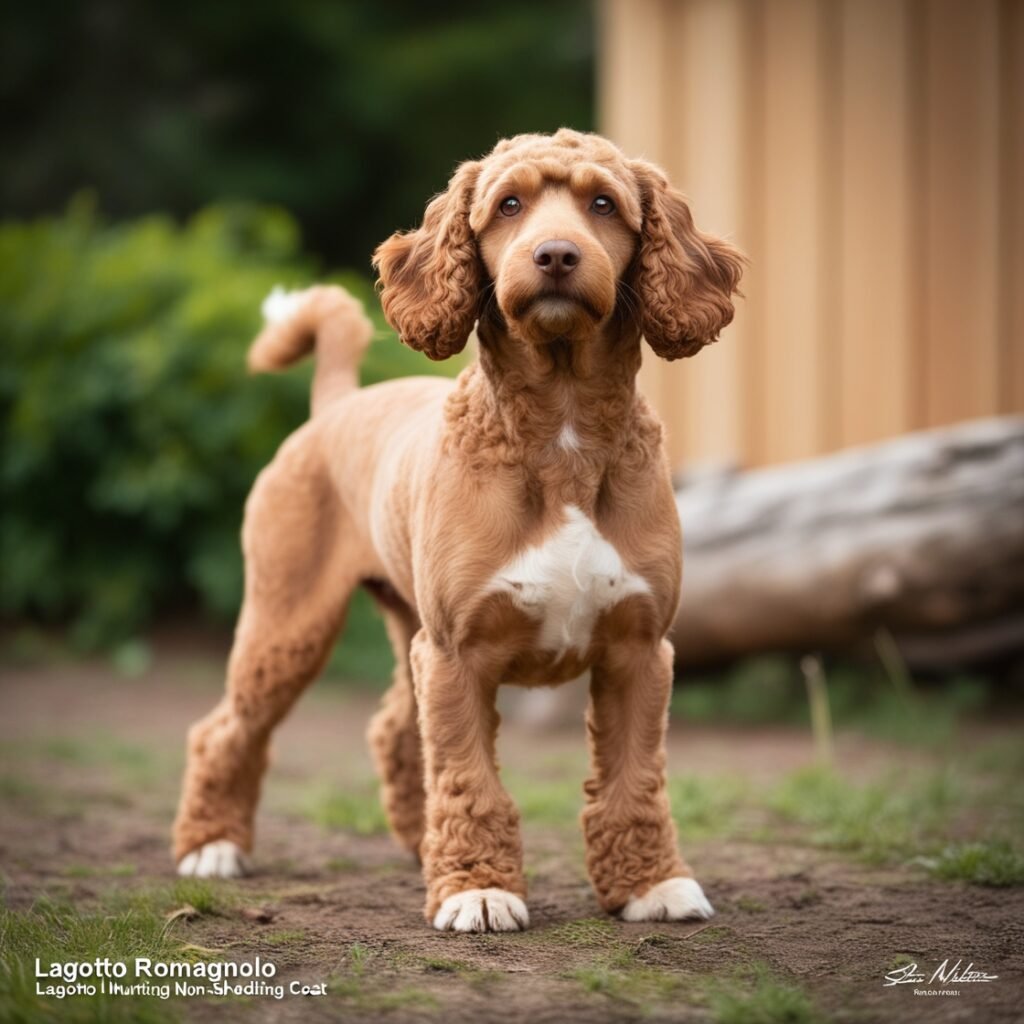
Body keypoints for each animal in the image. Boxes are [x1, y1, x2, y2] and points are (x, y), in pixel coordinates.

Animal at [174, 125, 745, 929]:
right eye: (508, 205)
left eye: (604, 203)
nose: (556, 255)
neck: (561, 429)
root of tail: (336, 405)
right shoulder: (456, 652)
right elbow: (470, 779)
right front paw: (477, 888)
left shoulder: (639, 649)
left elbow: (635, 780)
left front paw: (652, 885)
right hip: (286, 620)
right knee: (226, 729)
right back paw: (212, 848)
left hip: (398, 618)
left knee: (392, 730)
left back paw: (421, 849)